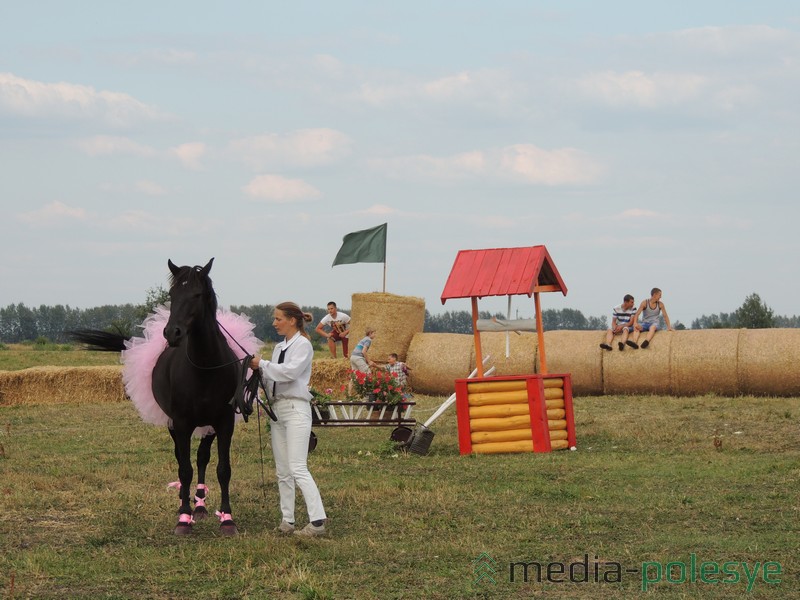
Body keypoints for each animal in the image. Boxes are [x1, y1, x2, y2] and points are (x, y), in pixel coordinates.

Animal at [77, 258, 247, 536]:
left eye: (197, 294)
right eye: (172, 294)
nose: (172, 333)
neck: (205, 367)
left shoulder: (224, 422)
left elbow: (223, 469)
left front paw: (227, 519)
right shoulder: (181, 423)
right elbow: (184, 469)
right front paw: (183, 519)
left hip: (208, 427)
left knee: (202, 458)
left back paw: (200, 506)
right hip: (172, 423)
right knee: (182, 460)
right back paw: (185, 505)